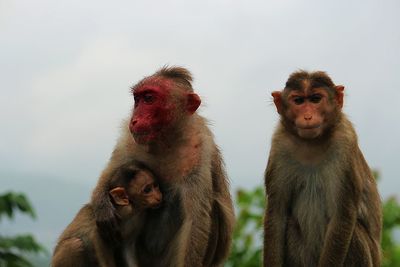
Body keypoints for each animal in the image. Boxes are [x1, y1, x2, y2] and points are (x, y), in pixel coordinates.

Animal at [90, 66, 234, 267]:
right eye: (137, 99)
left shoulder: (200, 150)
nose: (134, 119)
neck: (166, 140)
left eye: (149, 98)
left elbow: (195, 221)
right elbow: (111, 173)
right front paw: (103, 207)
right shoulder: (129, 137)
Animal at [264, 71, 382, 267]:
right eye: (298, 101)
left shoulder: (345, 140)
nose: (308, 116)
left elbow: (342, 216)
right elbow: (277, 215)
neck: (312, 144)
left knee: (354, 232)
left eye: (316, 99)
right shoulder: (280, 144)